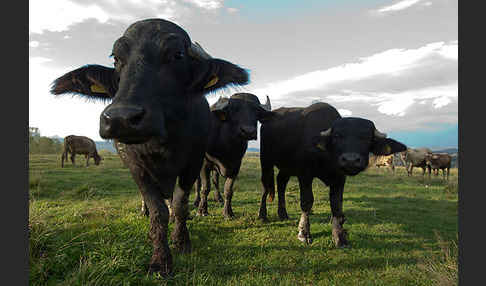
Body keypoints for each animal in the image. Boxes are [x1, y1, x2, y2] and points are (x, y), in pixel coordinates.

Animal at [258, 103, 406, 248]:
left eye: (366, 138)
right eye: (337, 136)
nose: (351, 160)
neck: (327, 157)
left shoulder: (340, 178)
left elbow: (336, 205)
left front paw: (339, 237)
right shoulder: (305, 175)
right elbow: (307, 201)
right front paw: (304, 233)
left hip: (286, 167)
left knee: (281, 182)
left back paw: (283, 214)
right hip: (266, 161)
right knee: (266, 186)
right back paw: (262, 215)